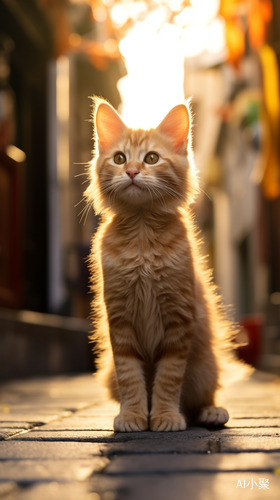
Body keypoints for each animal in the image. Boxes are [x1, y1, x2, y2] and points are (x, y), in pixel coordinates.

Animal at [85, 98, 247, 434]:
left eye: (151, 158)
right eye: (119, 158)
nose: (132, 171)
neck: (142, 233)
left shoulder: (178, 320)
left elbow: (169, 379)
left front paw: (165, 416)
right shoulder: (119, 321)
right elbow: (130, 377)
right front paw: (133, 415)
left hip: (204, 366)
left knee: (202, 397)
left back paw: (211, 412)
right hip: (108, 373)